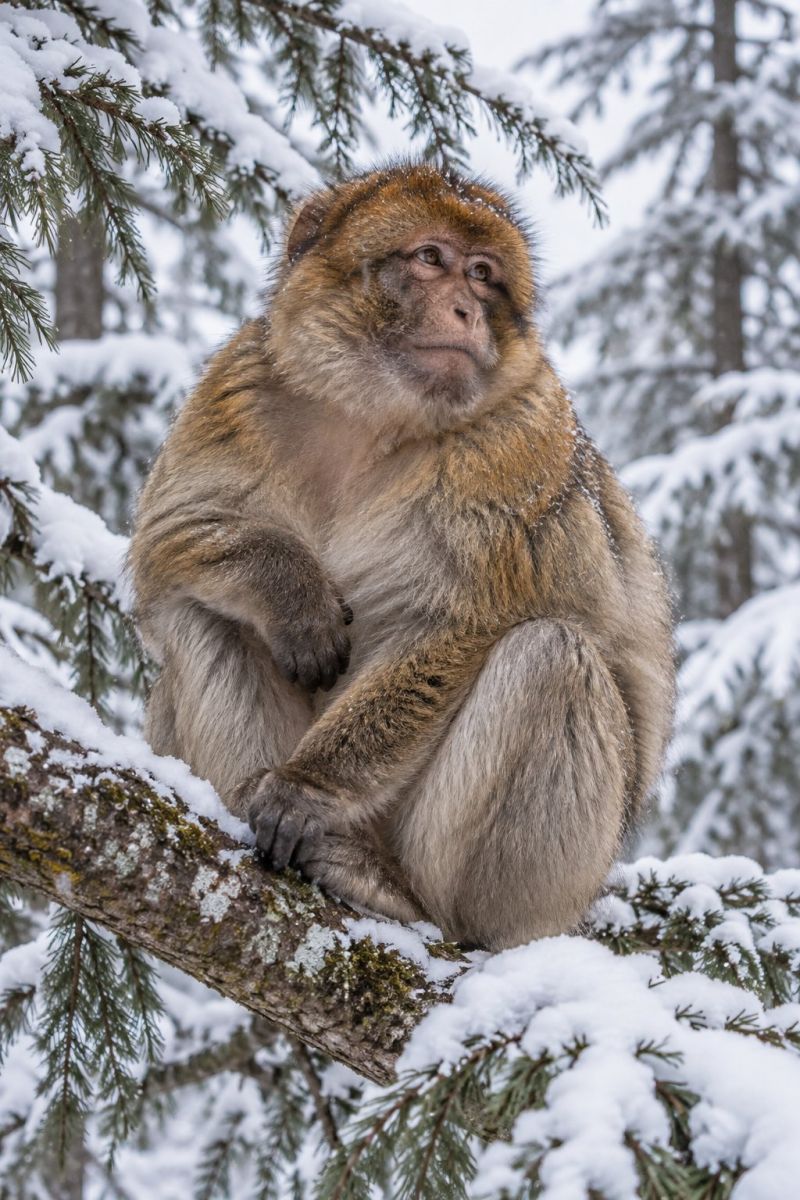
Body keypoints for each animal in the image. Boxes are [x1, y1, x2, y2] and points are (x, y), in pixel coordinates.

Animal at [130, 161, 675, 952]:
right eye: (431, 258)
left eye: (483, 275)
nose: (467, 310)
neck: (374, 418)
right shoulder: (239, 386)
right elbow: (171, 533)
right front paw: (292, 595)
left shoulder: (519, 441)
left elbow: (455, 624)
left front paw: (307, 791)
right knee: (199, 612)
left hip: (551, 886)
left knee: (551, 655)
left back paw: (393, 891)